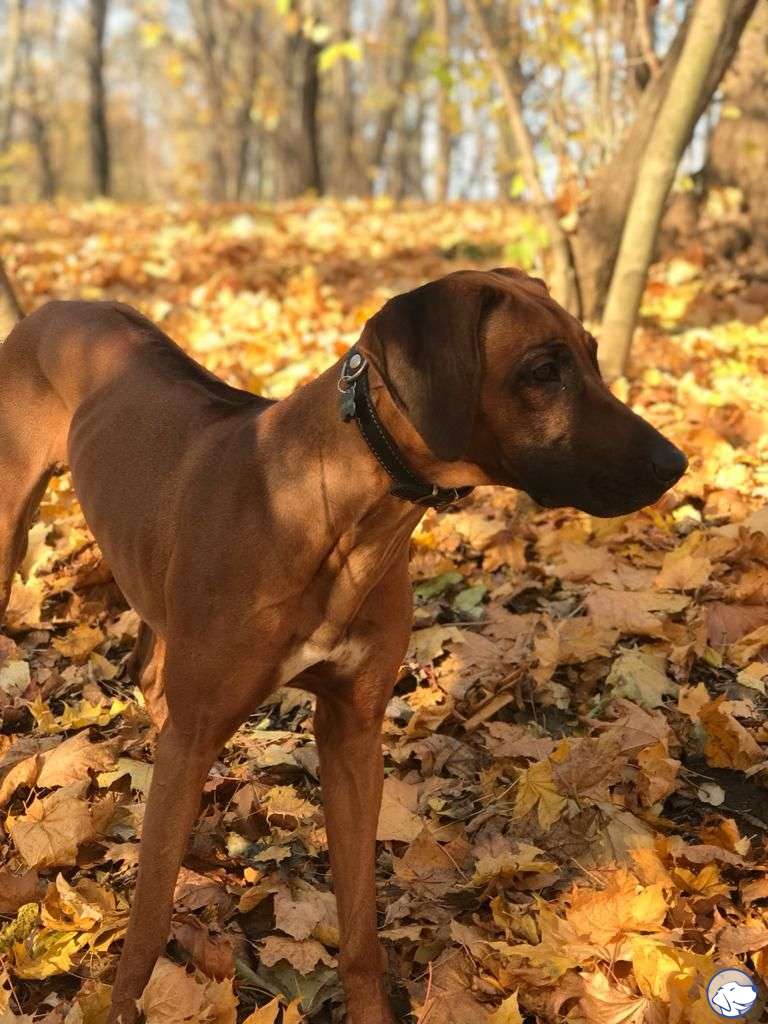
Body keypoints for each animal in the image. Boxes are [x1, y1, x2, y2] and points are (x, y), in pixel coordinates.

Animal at [0, 268, 687, 1023]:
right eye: (542, 370)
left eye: (593, 355)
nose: (676, 463)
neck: (339, 510)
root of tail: (56, 307)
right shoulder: (202, 728)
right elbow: (147, 927)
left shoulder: (352, 729)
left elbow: (361, 931)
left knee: (152, 679)